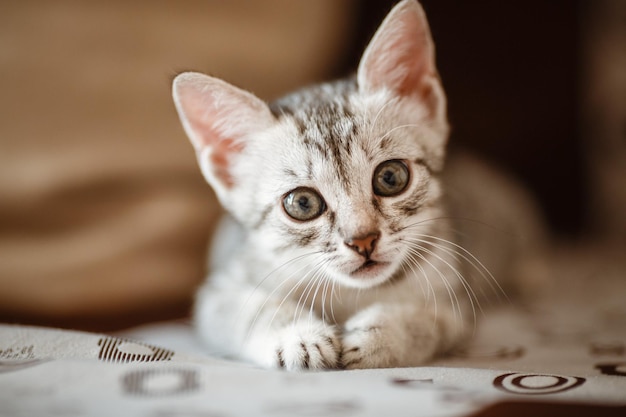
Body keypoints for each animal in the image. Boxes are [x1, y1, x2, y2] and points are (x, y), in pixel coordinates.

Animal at [171, 0, 540, 370]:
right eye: (302, 203)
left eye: (390, 178)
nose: (363, 240)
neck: (352, 294)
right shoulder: (218, 291)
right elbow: (252, 311)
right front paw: (297, 335)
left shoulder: (455, 299)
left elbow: (426, 320)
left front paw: (382, 333)